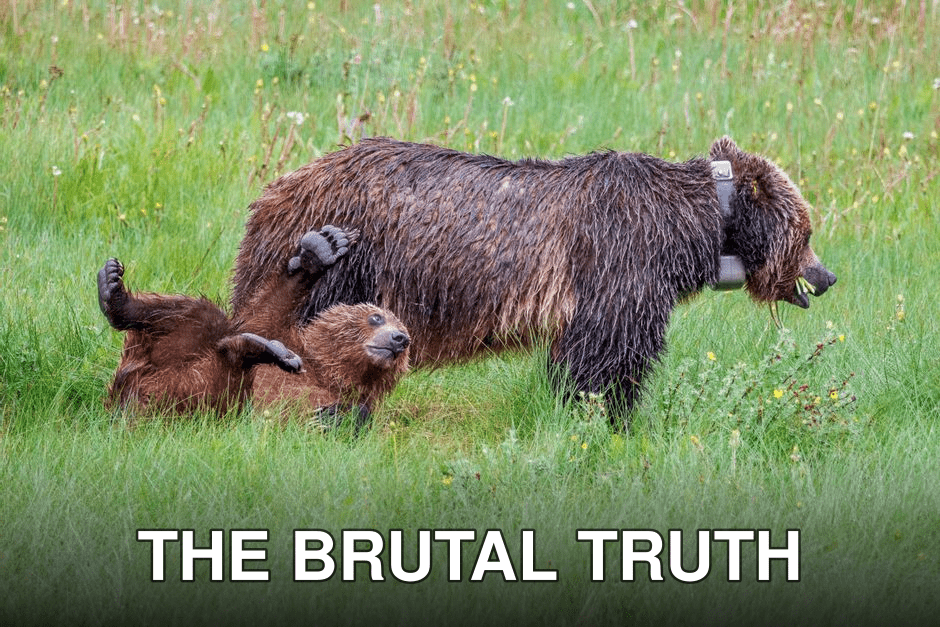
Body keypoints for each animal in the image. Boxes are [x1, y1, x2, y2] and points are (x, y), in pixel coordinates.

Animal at [98, 225, 410, 428]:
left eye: (408, 337)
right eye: (376, 317)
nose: (399, 338)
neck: (325, 370)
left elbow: (348, 413)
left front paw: (330, 417)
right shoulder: (278, 330)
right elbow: (264, 310)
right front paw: (323, 248)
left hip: (202, 401)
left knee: (224, 365)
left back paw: (266, 352)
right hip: (160, 358)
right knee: (198, 316)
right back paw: (113, 290)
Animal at [230, 136, 836, 425]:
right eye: (807, 229)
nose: (826, 275)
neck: (694, 227)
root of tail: (278, 189)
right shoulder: (618, 259)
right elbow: (606, 352)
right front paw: (606, 413)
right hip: (354, 255)